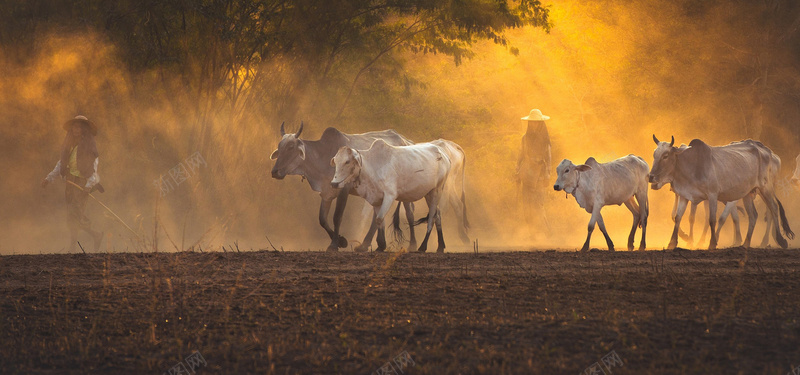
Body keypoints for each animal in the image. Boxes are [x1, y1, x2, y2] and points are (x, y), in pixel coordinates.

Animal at [272, 123, 416, 253]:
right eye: (279, 147)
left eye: (291, 147)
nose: (274, 172)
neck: (323, 155)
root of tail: (407, 141)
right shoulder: (326, 193)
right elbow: (322, 219)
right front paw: (342, 241)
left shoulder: (344, 190)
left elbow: (337, 217)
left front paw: (334, 244)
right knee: (377, 217)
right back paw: (365, 245)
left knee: (409, 214)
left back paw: (413, 245)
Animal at [648, 137, 792, 251]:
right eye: (654, 154)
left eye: (666, 155)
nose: (651, 177)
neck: (691, 165)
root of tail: (768, 151)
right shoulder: (684, 196)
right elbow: (678, 217)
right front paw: (672, 243)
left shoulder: (712, 195)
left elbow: (713, 219)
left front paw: (712, 243)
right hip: (748, 194)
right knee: (753, 215)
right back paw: (745, 243)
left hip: (765, 188)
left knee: (773, 208)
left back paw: (780, 240)